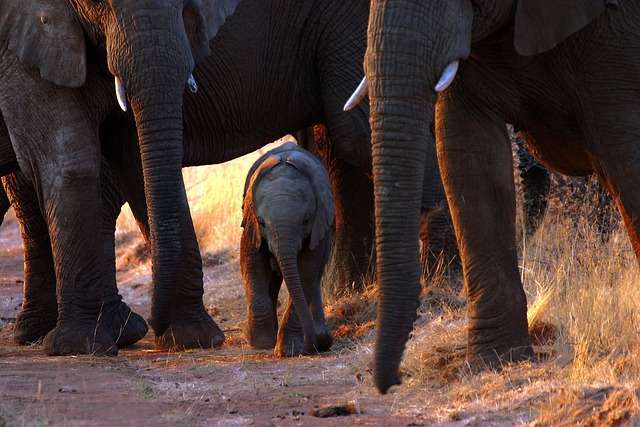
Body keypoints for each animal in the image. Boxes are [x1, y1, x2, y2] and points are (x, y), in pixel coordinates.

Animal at [0, 0, 242, 354]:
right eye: (97, 3)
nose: (157, 323)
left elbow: (134, 157)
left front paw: (193, 338)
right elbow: (69, 160)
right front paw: (79, 346)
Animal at [240, 144, 336, 358]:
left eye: (306, 219)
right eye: (261, 222)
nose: (315, 345)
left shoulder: (319, 226)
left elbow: (306, 271)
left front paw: (289, 349)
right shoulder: (250, 221)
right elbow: (252, 262)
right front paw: (261, 342)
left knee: (313, 278)